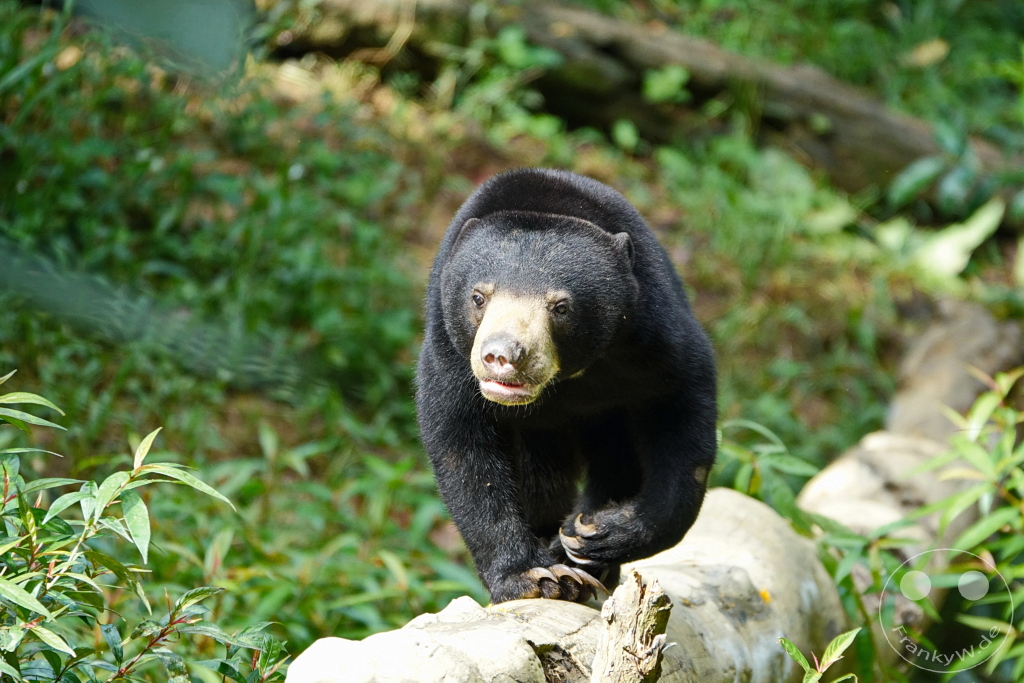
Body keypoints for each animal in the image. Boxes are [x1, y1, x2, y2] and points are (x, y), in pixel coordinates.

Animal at [416, 168, 717, 604]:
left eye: (560, 307)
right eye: (478, 297)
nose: (503, 355)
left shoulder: (654, 338)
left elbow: (682, 418)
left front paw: (598, 535)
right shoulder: (449, 354)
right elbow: (462, 445)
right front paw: (538, 576)